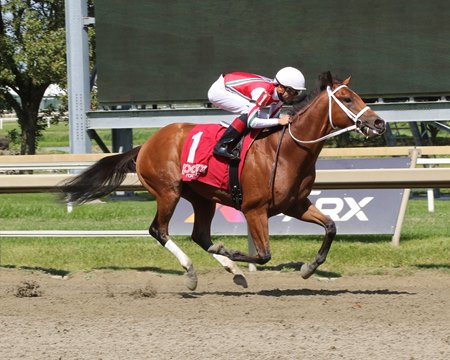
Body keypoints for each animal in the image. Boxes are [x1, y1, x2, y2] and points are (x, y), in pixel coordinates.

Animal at [61, 72, 386, 290]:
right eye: (346, 98)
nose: (379, 122)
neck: (286, 150)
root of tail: (146, 145)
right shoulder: (254, 209)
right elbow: (264, 255)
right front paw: (231, 251)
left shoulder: (295, 204)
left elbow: (331, 227)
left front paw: (308, 268)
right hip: (168, 191)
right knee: (159, 230)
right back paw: (192, 272)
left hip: (202, 198)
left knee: (200, 236)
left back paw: (235, 272)